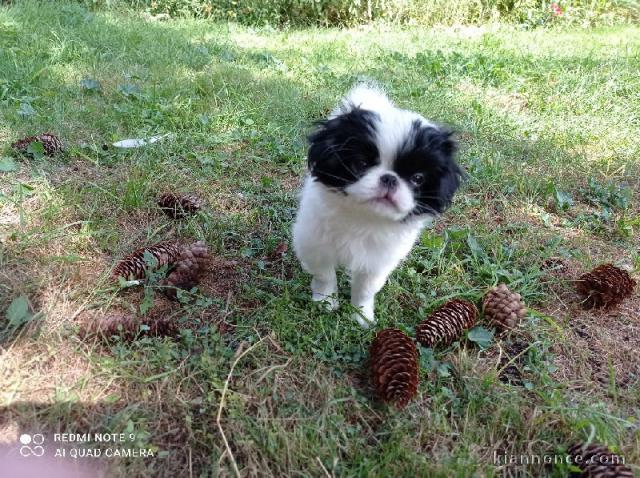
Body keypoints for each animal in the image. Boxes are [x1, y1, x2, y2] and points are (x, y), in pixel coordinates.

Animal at [292, 84, 462, 326]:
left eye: (417, 178)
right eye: (361, 164)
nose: (389, 178)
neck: (363, 218)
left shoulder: (377, 261)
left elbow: (365, 289)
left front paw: (362, 315)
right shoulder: (316, 244)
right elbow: (325, 276)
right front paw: (325, 302)